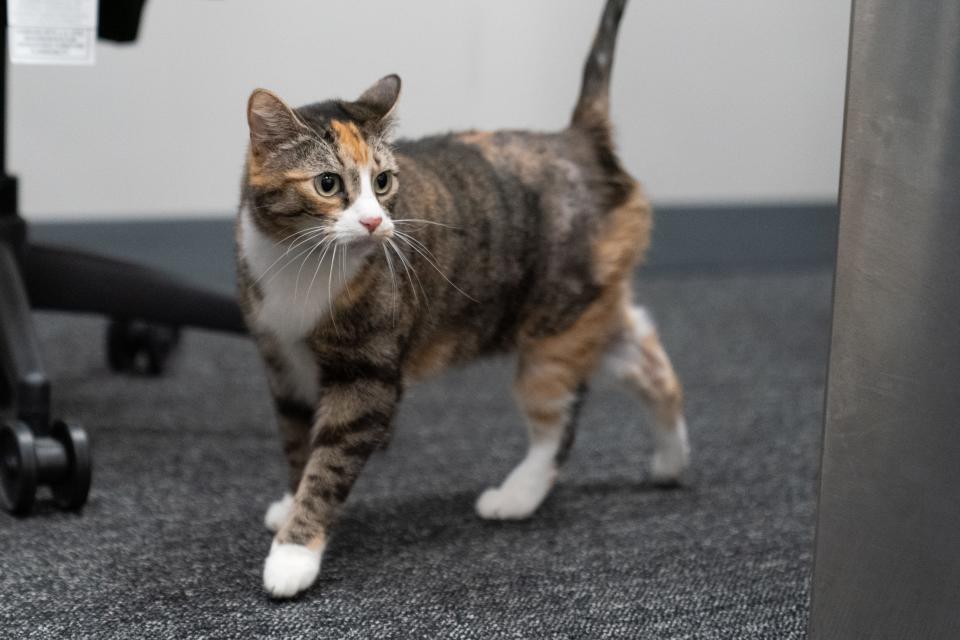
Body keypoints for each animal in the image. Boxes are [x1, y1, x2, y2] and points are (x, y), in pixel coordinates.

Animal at [239, 0, 688, 600]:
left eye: (383, 182)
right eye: (328, 184)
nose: (375, 222)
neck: (300, 263)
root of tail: (578, 139)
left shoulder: (367, 379)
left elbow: (328, 461)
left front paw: (293, 552)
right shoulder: (282, 363)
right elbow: (296, 443)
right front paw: (290, 505)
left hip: (554, 330)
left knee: (560, 420)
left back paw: (518, 495)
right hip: (589, 308)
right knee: (648, 359)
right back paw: (671, 459)